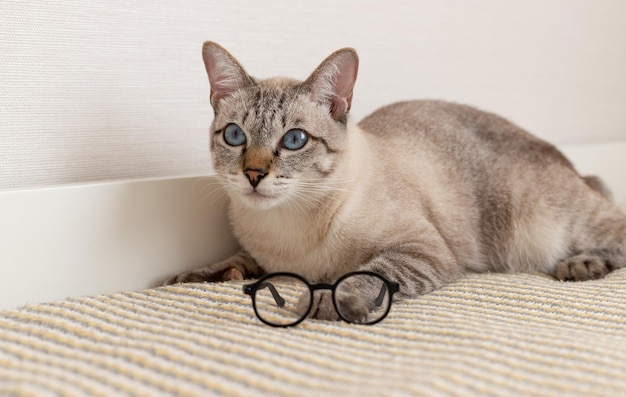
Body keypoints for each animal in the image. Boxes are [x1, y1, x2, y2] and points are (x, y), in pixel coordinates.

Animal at [165, 41, 624, 318]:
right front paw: (195, 276)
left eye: (294, 140)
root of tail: (566, 162)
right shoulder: (265, 257)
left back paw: (581, 264)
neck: (288, 227)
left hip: (544, 226)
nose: (254, 175)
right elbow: (237, 261)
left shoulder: (420, 250)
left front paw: (327, 302)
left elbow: (366, 273)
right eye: (234, 136)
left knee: (616, 226)